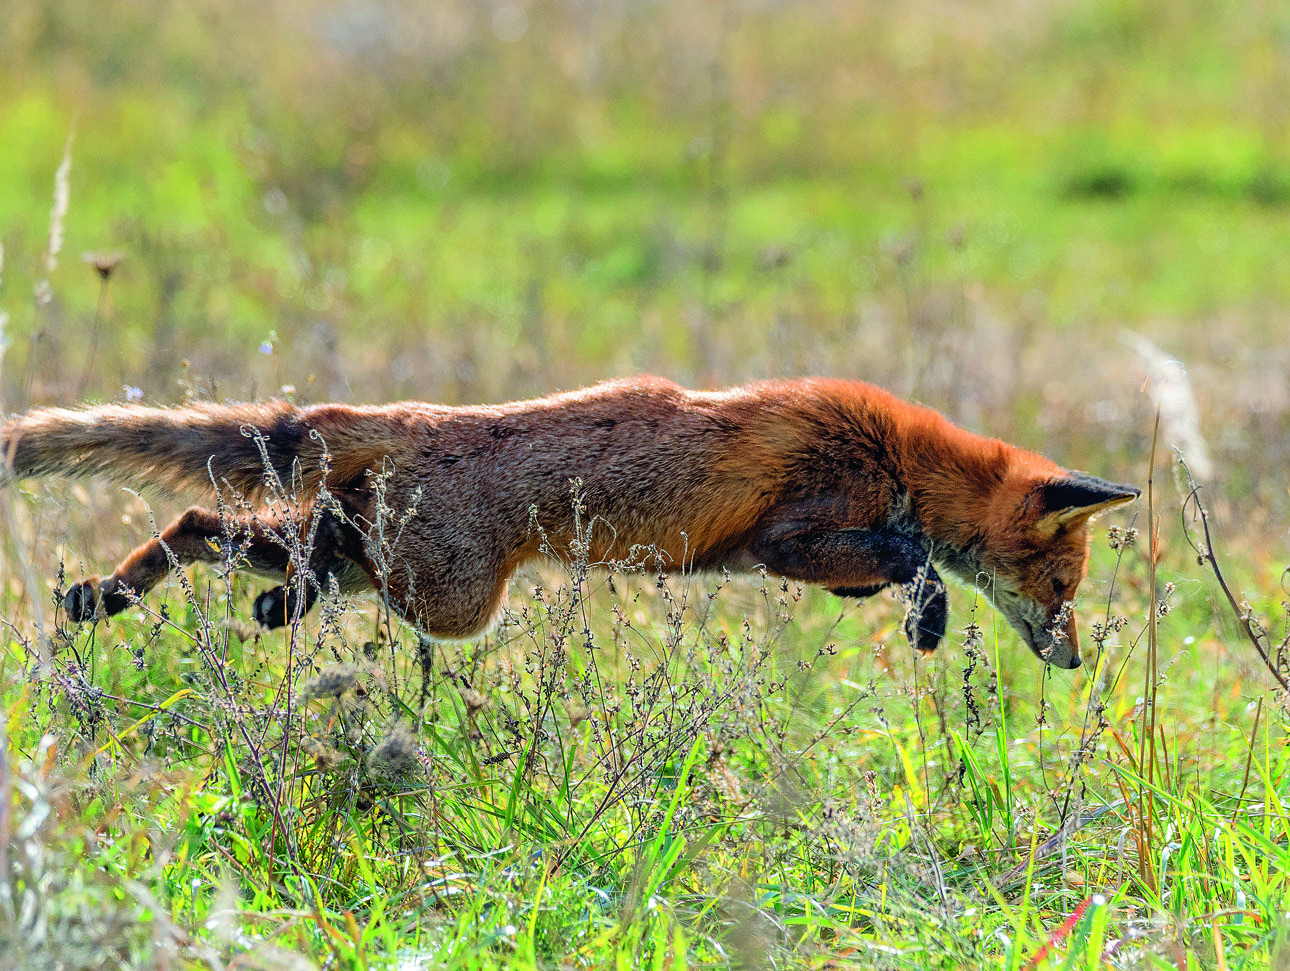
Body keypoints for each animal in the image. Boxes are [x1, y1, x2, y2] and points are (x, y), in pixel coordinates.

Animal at [2, 376, 1140, 665]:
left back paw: (107, 594)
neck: (899, 456)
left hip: (405, 572)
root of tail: (408, 415)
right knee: (261, 531)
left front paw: (913, 614)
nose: (1073, 658)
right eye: (1061, 588)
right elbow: (920, 560)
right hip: (447, 597)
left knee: (215, 520)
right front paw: (930, 618)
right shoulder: (791, 534)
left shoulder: (803, 555)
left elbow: (895, 565)